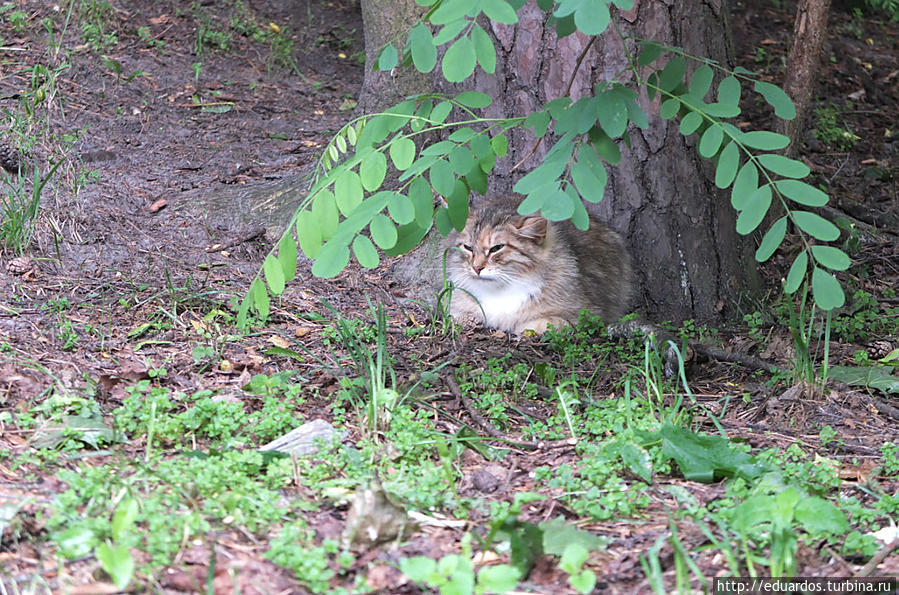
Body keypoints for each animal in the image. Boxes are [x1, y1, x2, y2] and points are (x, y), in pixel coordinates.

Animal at [444, 197, 632, 332]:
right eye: (468, 248)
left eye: (496, 248)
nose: (476, 268)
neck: (500, 291)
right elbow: (458, 315)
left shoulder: (588, 313)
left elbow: (545, 323)